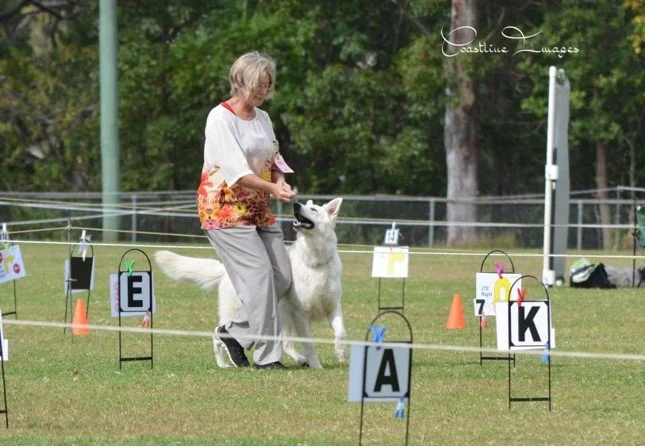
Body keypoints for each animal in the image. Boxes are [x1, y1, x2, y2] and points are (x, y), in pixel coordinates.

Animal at [154, 198, 346, 369]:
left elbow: (341, 333)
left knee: (285, 344)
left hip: (282, 317)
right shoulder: (300, 314)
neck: (316, 262)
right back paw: (223, 363)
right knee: (220, 334)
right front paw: (317, 367)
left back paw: (299, 360)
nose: (296, 205)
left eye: (313, 209)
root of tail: (225, 270)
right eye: (306, 206)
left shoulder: (333, 307)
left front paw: (341, 354)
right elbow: (309, 344)